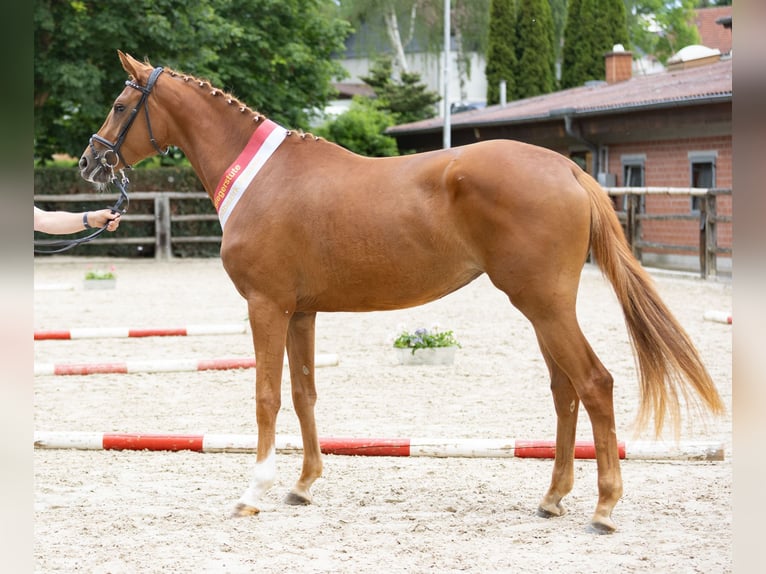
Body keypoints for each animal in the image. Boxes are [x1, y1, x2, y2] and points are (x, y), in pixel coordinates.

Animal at [81, 54, 724, 536]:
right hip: (542, 311)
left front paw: (253, 492)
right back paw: (553, 497)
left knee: (594, 384)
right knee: (565, 392)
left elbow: (266, 396)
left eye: (120, 106)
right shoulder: (301, 312)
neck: (263, 179)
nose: (89, 161)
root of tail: (567, 170)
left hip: (544, 305)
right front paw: (304, 484)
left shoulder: (267, 307)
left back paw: (605, 507)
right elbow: (305, 393)